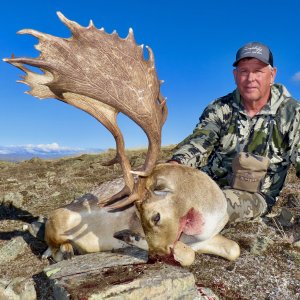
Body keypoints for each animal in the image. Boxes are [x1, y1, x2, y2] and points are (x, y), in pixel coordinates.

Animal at [4, 12, 239, 264]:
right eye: (139, 217)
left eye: (156, 217)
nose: (156, 256)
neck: (208, 209)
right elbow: (187, 254)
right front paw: (131, 239)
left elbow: (233, 248)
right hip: (58, 220)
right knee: (53, 247)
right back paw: (67, 250)